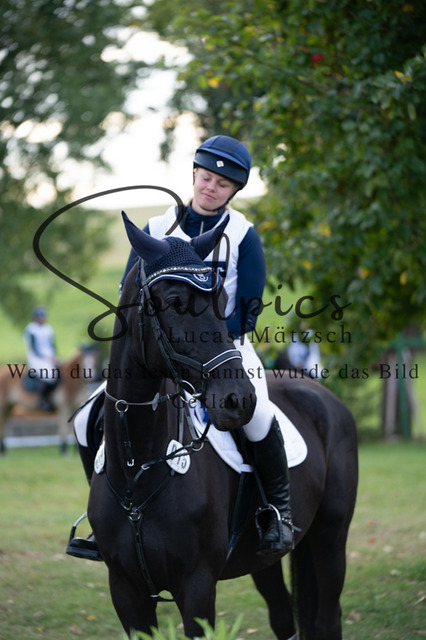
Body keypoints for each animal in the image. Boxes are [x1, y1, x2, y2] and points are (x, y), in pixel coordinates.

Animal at [87, 212, 358, 640]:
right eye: (176, 302)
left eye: (221, 303)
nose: (239, 400)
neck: (138, 470)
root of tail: (322, 395)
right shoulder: (126, 592)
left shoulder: (197, 588)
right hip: (265, 559)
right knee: (283, 615)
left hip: (330, 538)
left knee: (327, 618)